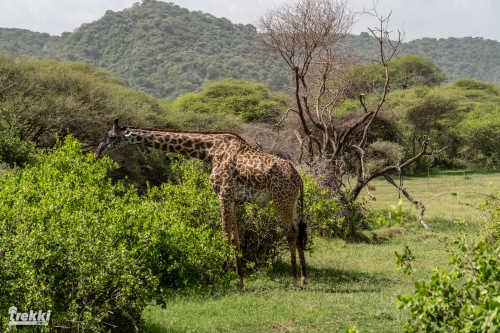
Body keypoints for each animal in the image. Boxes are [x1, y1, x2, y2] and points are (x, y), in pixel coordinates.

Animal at [92, 118, 306, 286]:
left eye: (112, 137)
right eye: (105, 135)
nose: (97, 152)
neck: (210, 151)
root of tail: (299, 178)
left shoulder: (223, 194)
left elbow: (225, 236)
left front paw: (224, 275)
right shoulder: (232, 198)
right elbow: (235, 238)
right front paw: (238, 279)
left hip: (281, 199)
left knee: (290, 232)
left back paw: (295, 280)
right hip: (292, 201)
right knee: (298, 230)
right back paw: (304, 278)